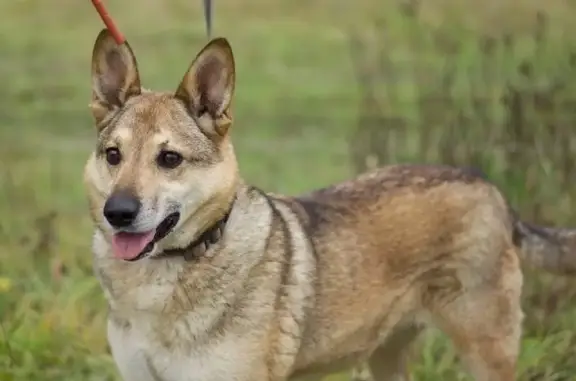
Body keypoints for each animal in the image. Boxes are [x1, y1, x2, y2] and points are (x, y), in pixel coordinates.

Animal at [84, 29, 576, 380]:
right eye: (113, 155)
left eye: (169, 159)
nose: (118, 213)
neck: (171, 270)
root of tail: (490, 188)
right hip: (387, 356)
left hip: (486, 352)